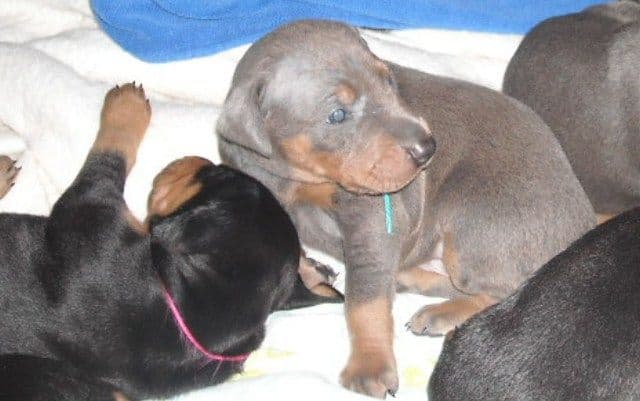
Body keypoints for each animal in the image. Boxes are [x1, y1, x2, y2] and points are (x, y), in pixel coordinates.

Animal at [0, 83, 332, 398]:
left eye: (215, 173)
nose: (196, 158)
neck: (190, 313)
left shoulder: (91, 206)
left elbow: (108, 157)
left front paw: (127, 106)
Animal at [215, 19, 596, 396]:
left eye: (388, 80)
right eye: (336, 115)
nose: (428, 148)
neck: (299, 177)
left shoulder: (372, 218)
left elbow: (366, 301)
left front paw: (369, 363)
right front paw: (310, 271)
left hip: (473, 223)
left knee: (507, 288)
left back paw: (441, 311)